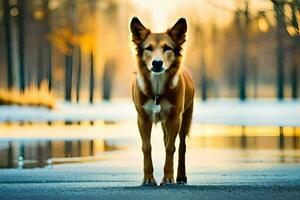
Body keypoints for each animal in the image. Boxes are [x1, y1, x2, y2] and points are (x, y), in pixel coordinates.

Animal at [131, 16, 195, 186]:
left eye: (167, 48)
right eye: (148, 48)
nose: (157, 63)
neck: (158, 87)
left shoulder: (175, 118)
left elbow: (170, 148)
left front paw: (168, 178)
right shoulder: (143, 118)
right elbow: (146, 147)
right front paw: (148, 178)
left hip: (185, 118)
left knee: (182, 146)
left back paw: (181, 176)